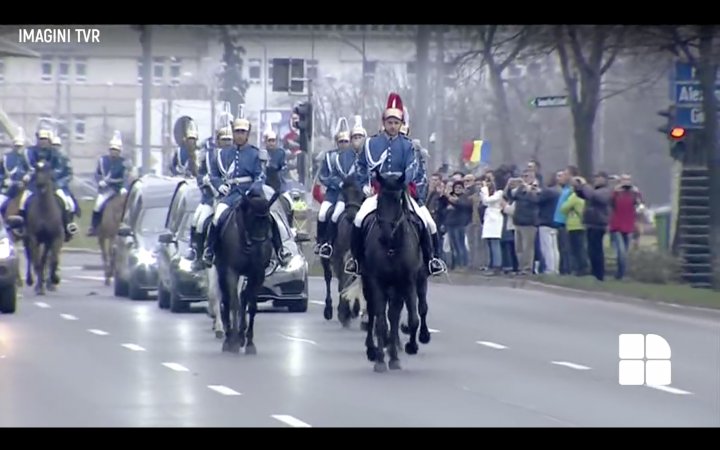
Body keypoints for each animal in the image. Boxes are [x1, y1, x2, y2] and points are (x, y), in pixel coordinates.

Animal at [24, 162, 64, 296]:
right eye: (36, 170)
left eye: (47, 170)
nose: (40, 184)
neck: (45, 210)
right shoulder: (33, 238)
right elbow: (37, 262)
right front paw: (39, 287)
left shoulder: (56, 237)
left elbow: (53, 260)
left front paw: (54, 279)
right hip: (28, 240)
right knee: (31, 257)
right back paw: (32, 281)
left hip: (47, 242)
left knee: (45, 259)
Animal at [212, 190, 280, 356]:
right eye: (252, 220)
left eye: (268, 222)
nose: (258, 251)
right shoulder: (231, 271)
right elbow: (234, 303)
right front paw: (234, 341)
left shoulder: (258, 273)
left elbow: (252, 305)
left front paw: (249, 342)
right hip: (221, 270)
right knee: (227, 299)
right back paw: (229, 337)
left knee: (242, 298)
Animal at [322, 178, 366, 326]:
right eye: (344, 194)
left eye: (361, 195)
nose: (352, 216)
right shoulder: (339, 259)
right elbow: (342, 283)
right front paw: (344, 312)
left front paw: (353, 310)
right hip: (326, 259)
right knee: (328, 278)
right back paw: (329, 310)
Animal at [358, 172, 424, 372]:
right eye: (379, 199)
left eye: (397, 200)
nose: (385, 235)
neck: (393, 247)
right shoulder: (376, 282)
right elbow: (380, 322)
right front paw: (380, 360)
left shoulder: (407, 283)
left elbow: (412, 319)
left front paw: (410, 347)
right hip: (368, 284)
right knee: (373, 313)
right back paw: (372, 350)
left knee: (393, 316)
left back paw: (394, 351)